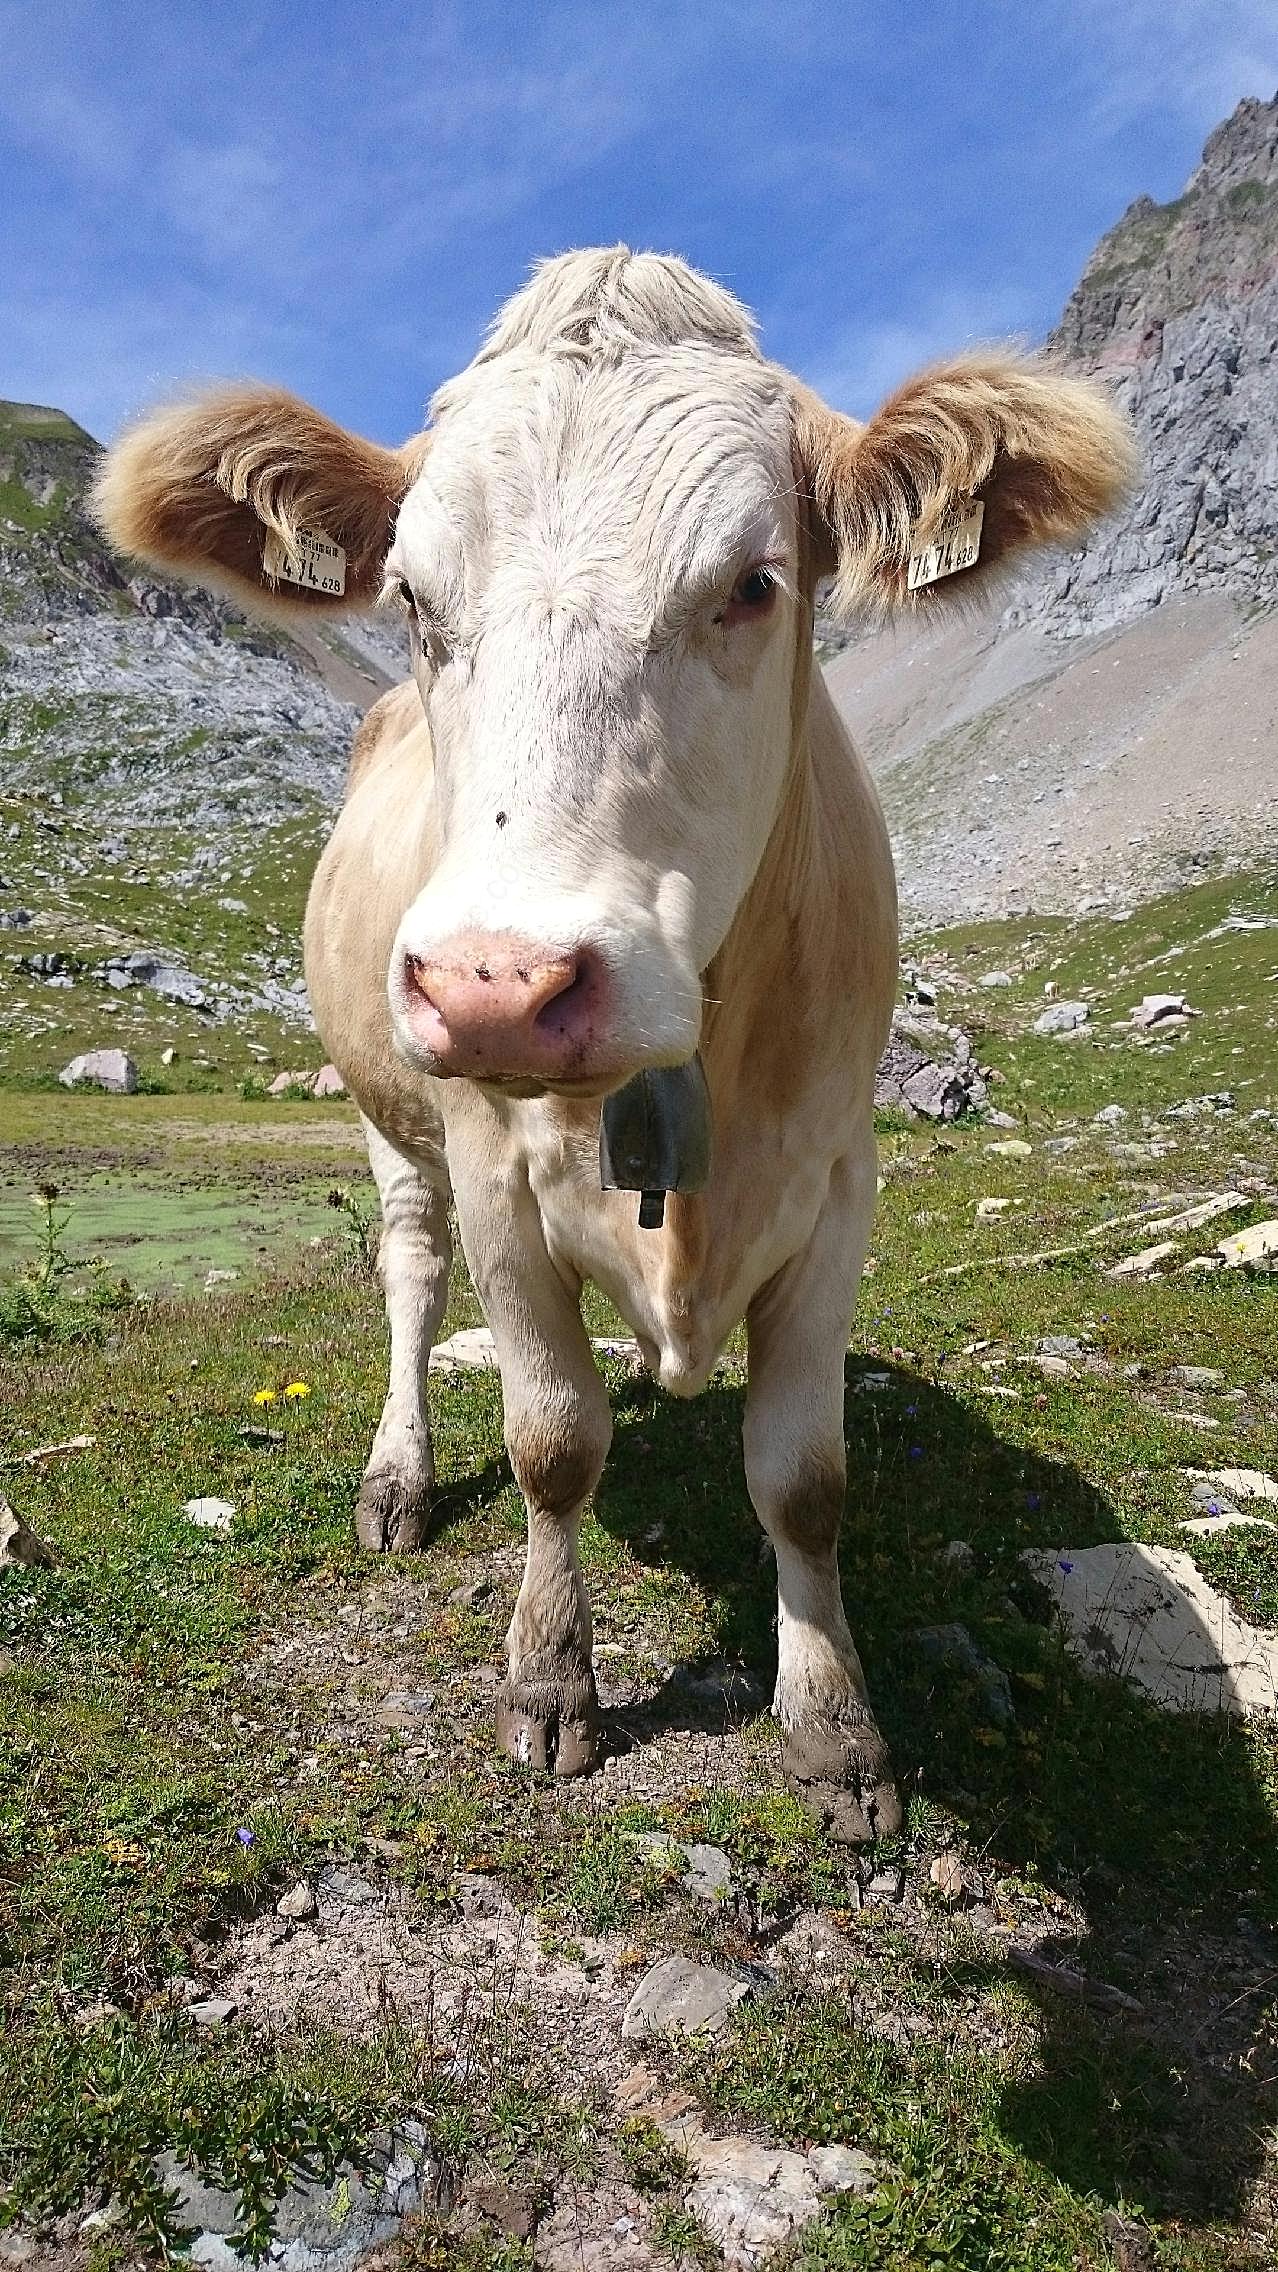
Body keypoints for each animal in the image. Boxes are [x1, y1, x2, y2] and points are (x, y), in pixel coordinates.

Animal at [101, 253, 1132, 1844]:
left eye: (754, 583)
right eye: (412, 595)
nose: (499, 985)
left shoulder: (840, 1182)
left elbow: (804, 1477)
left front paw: (835, 1726)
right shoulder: (492, 1173)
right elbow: (551, 1440)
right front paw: (549, 1682)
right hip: (390, 1117)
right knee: (408, 1273)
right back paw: (397, 1477)